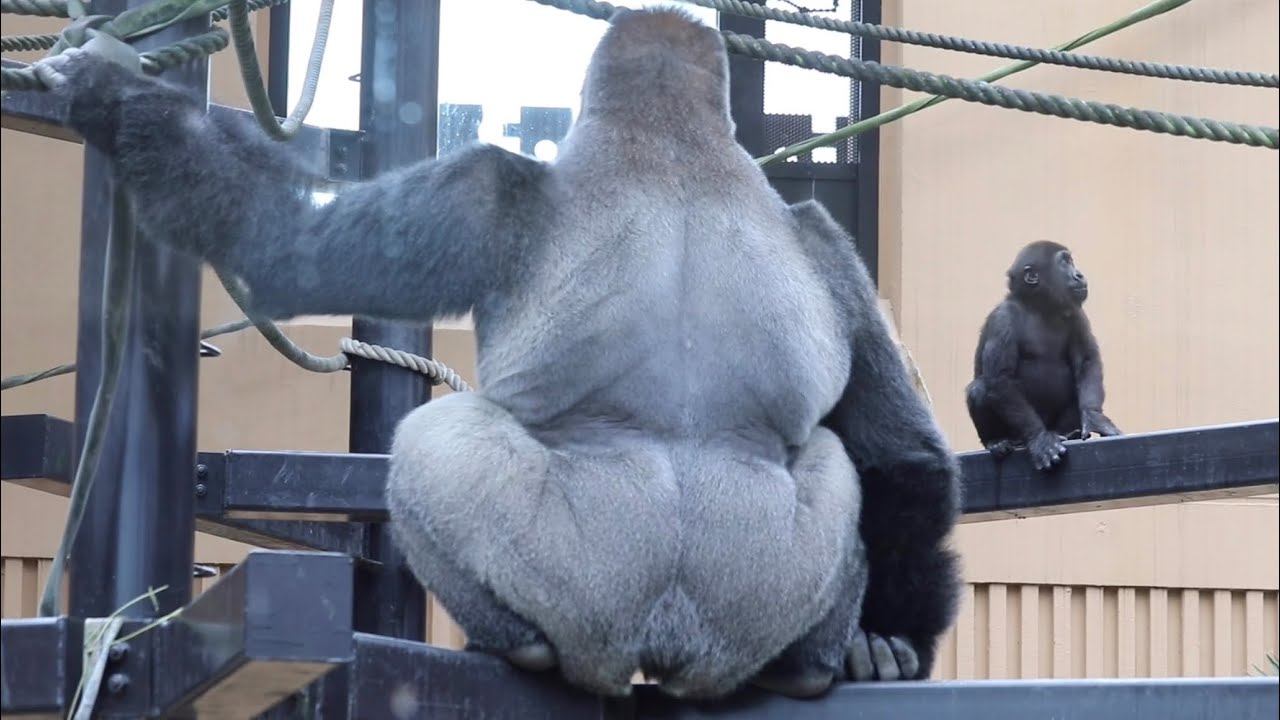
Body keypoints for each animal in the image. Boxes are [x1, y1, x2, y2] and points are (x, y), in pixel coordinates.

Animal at [34, 7, 961, 701]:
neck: (672, 142)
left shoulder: (483, 187)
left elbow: (280, 246)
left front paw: (111, 100)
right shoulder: (828, 244)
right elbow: (904, 453)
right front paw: (889, 638)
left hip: (594, 594)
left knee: (430, 447)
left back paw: (515, 645)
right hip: (763, 585)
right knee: (841, 462)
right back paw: (810, 661)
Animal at [965, 240, 1122, 471]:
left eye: (1071, 262)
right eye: (1064, 263)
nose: (1079, 274)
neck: (1039, 306)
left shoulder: (1077, 314)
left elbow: (1086, 361)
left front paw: (1095, 418)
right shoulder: (1003, 319)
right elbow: (1001, 379)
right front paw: (1040, 440)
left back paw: (1070, 433)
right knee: (980, 388)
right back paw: (997, 441)